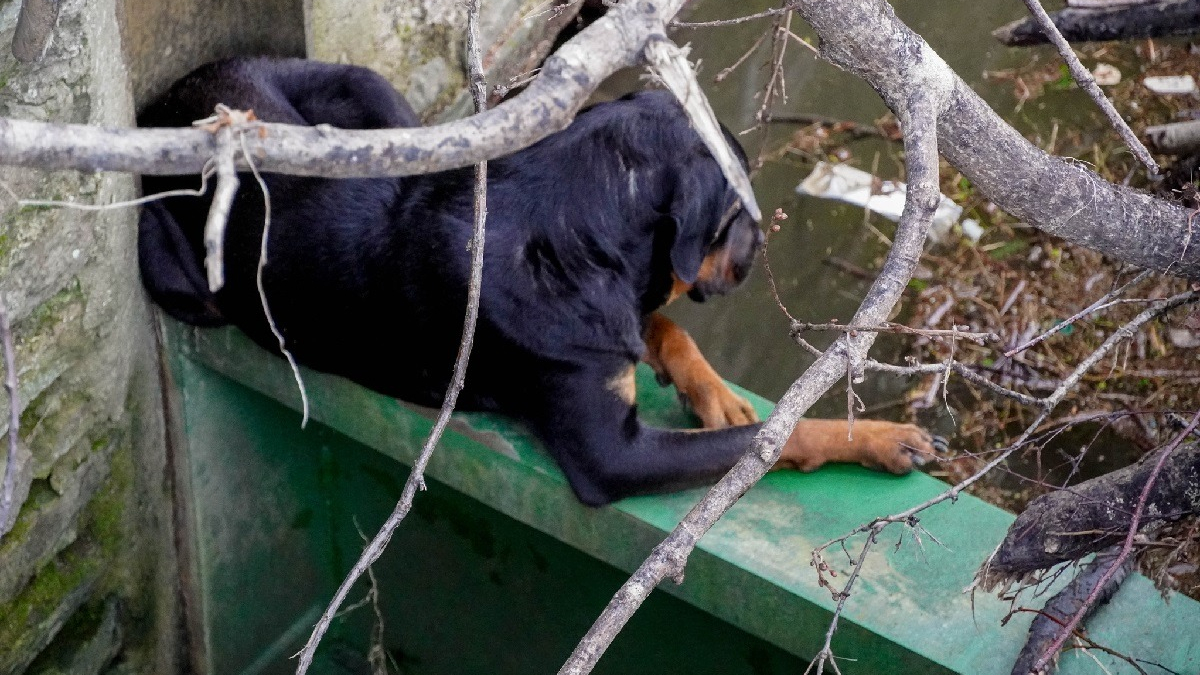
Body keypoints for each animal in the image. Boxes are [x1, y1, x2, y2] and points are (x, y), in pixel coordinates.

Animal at [136, 59, 931, 504]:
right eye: (735, 206)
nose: (761, 242)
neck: (575, 241)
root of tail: (177, 88)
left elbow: (666, 328)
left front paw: (715, 393)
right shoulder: (615, 457)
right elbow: (775, 435)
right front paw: (879, 437)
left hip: (385, 106)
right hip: (179, 278)